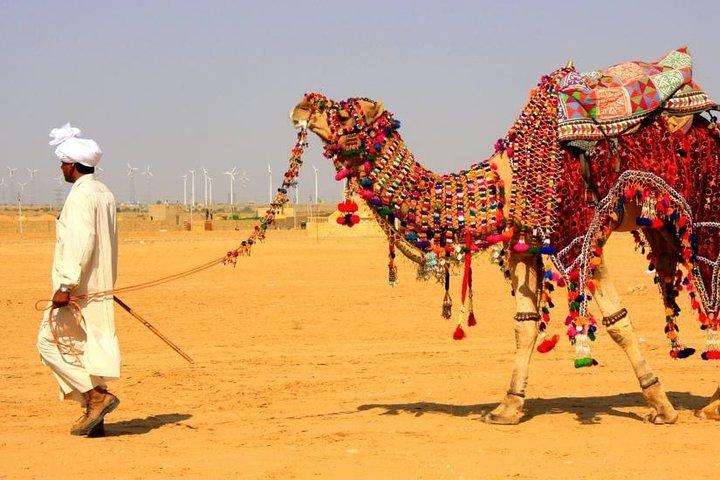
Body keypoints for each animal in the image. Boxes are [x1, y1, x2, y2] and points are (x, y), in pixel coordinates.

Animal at [289, 51, 720, 424]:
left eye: (344, 111)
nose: (302, 105)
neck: (505, 182)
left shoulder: (580, 233)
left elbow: (617, 322)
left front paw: (661, 406)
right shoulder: (525, 242)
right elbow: (525, 325)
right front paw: (508, 407)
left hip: (704, 210)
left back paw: (711, 407)